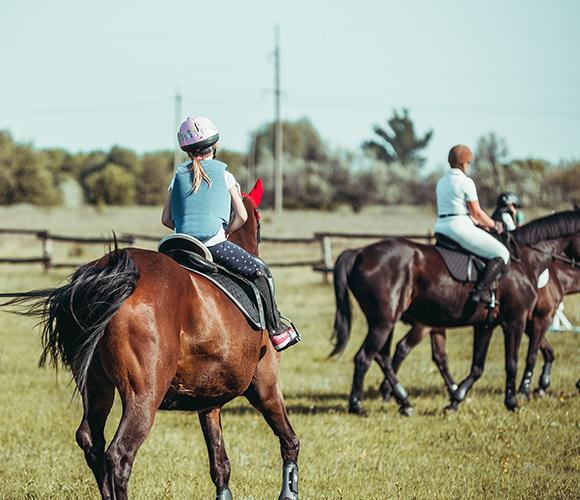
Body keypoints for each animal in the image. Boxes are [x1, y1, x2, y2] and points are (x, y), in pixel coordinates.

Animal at [9, 180, 302, 500]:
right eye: (259, 221)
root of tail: (113, 271)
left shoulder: (209, 402)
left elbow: (220, 463)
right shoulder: (264, 386)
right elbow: (289, 440)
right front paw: (289, 492)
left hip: (95, 386)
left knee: (92, 442)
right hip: (145, 394)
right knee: (119, 454)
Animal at [330, 210, 580, 414]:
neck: (526, 261)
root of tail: (360, 252)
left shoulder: (486, 325)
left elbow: (478, 367)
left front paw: (455, 400)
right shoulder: (519, 321)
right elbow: (517, 361)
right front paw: (514, 401)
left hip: (386, 322)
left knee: (383, 357)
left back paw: (405, 402)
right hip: (386, 322)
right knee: (366, 357)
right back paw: (358, 405)